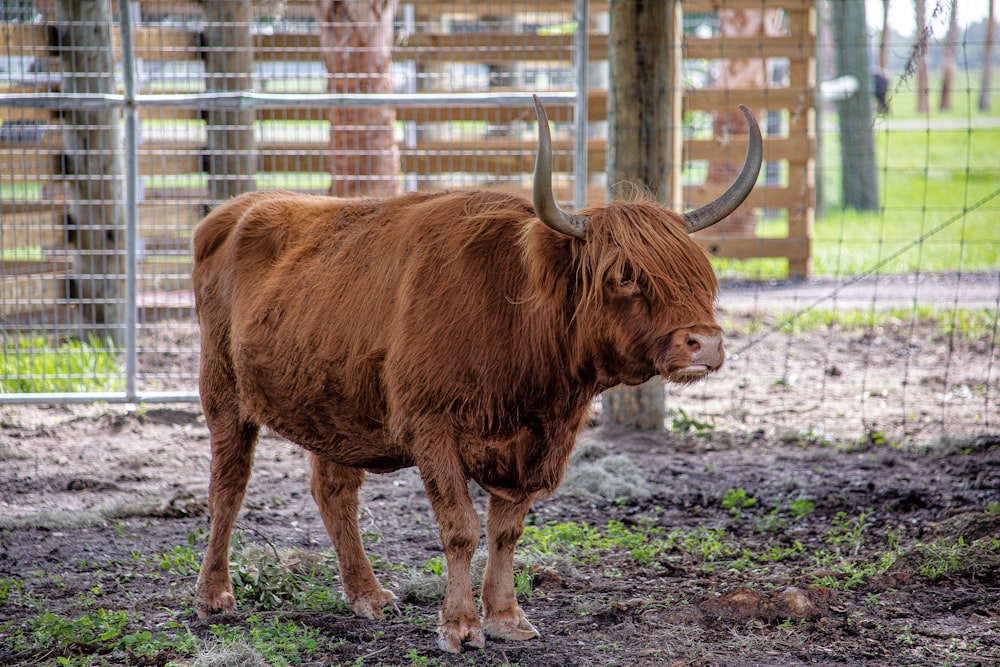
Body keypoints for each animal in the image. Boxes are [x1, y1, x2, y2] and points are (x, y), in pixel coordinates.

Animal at [191, 95, 760, 652]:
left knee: (333, 491)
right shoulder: (432, 427)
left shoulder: (533, 446)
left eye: (701, 274)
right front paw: (460, 624)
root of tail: (231, 211)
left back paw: (367, 595)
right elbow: (460, 527)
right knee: (227, 488)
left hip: (333, 407)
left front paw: (506, 617)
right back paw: (214, 595)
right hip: (223, 395)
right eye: (623, 276)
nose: (705, 342)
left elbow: (506, 531)